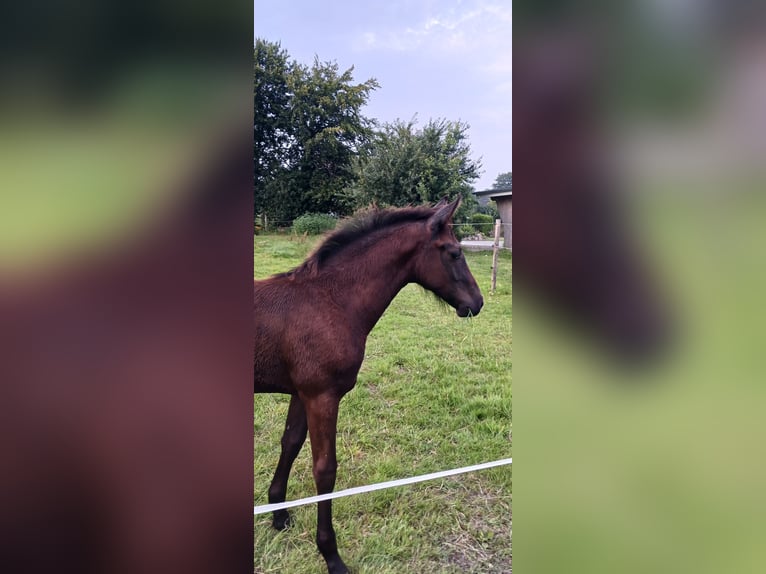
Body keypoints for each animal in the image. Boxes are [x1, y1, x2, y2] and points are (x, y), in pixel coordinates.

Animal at [258, 199, 486, 574]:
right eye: (454, 253)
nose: (477, 302)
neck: (330, 301)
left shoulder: (301, 393)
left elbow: (289, 443)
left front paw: (278, 515)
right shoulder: (322, 396)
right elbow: (325, 470)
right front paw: (332, 556)